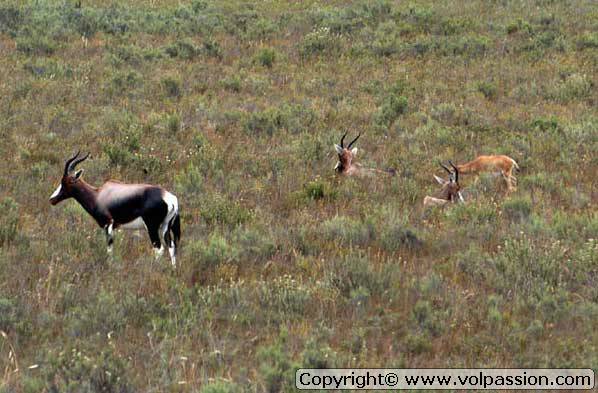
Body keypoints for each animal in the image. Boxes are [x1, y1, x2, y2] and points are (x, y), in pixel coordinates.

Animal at [49, 152, 182, 264]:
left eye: (65, 181)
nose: (52, 199)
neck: (98, 195)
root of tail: (170, 198)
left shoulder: (108, 224)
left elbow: (109, 248)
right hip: (165, 226)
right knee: (171, 247)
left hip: (152, 227)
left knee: (159, 249)